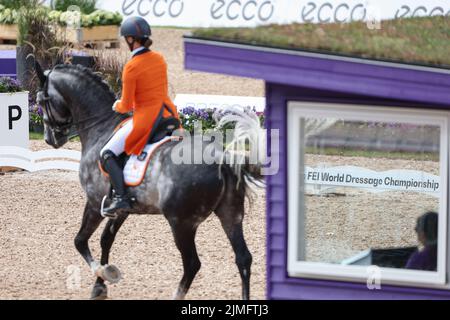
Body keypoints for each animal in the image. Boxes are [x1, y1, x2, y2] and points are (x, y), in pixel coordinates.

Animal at [36, 62, 268, 300]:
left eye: (41, 101)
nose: (50, 139)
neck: (101, 127)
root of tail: (223, 159)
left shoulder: (94, 203)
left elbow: (80, 241)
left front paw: (105, 274)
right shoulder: (120, 209)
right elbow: (105, 240)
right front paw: (99, 287)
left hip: (181, 223)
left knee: (192, 264)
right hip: (230, 215)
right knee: (243, 258)